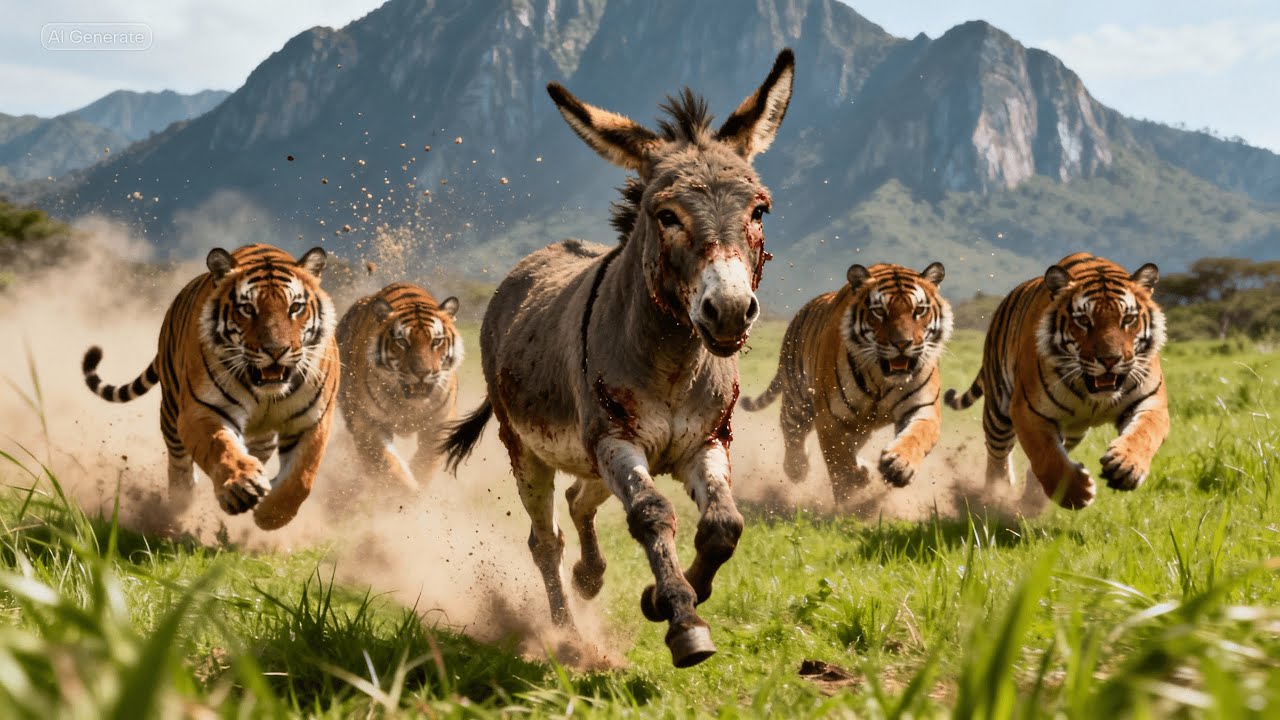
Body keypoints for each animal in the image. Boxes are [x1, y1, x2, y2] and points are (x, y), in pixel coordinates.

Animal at [81, 243, 339, 530]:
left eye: (295, 307)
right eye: (247, 309)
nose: (275, 350)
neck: (266, 393)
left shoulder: (312, 420)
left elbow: (302, 476)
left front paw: (270, 515)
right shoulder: (202, 410)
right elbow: (221, 447)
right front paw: (241, 487)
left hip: (261, 438)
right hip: (171, 410)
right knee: (179, 464)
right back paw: (180, 507)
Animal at [335, 282, 462, 490]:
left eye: (436, 341)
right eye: (402, 341)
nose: (422, 373)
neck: (409, 405)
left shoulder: (439, 423)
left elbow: (426, 463)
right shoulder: (368, 423)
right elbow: (391, 466)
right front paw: (405, 494)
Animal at [741, 262, 953, 505]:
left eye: (919, 311)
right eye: (880, 311)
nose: (903, 344)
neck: (881, 377)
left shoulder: (923, 408)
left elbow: (917, 436)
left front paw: (899, 466)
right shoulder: (831, 418)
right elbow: (838, 460)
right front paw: (851, 493)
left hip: (859, 425)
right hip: (797, 400)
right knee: (791, 432)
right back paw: (797, 468)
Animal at [944, 252, 1169, 509]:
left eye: (1128, 319)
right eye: (1084, 321)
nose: (1110, 359)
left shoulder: (1151, 402)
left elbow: (1145, 433)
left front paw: (1127, 467)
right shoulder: (1028, 411)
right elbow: (1046, 456)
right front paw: (1075, 493)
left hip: (1073, 431)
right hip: (998, 412)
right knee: (997, 458)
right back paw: (995, 499)